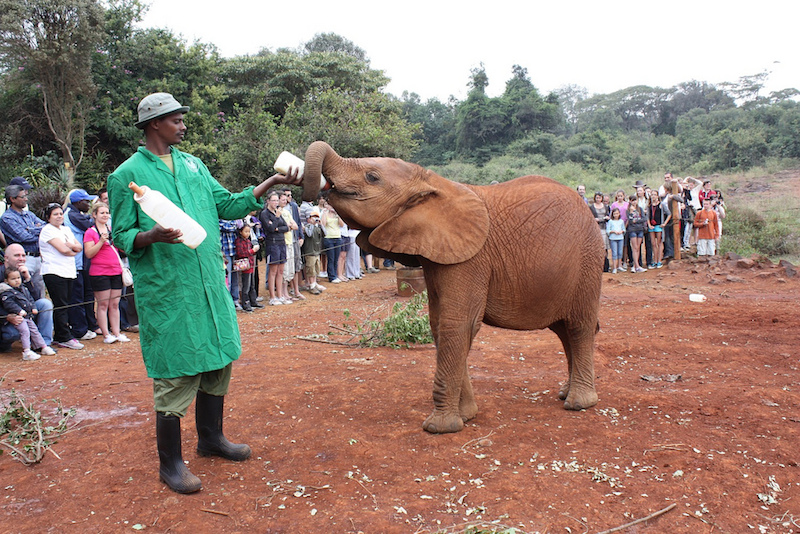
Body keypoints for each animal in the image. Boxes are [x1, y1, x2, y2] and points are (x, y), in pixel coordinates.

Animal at [299, 141, 604, 434]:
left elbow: (457, 323)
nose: (320, 191)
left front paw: (439, 428)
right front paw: (467, 415)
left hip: (588, 260)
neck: (432, 181)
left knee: (579, 325)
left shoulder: (471, 258)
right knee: (563, 329)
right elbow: (439, 324)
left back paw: (579, 402)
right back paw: (565, 392)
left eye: (372, 177)